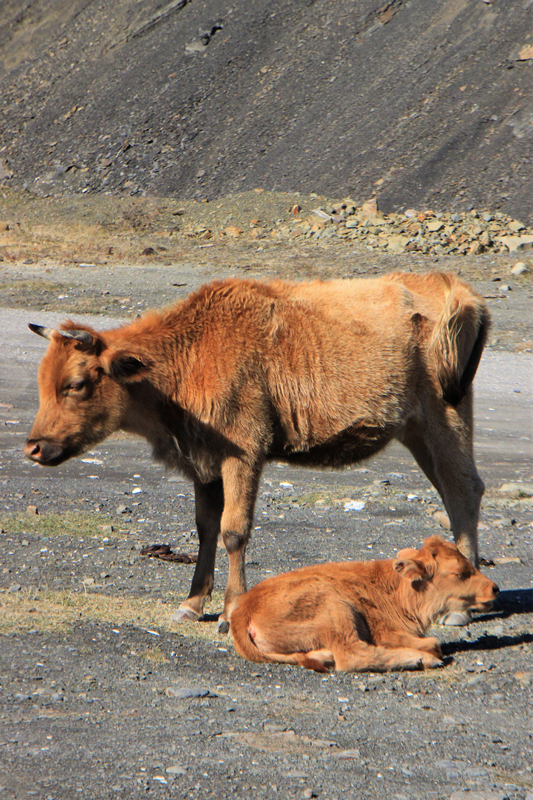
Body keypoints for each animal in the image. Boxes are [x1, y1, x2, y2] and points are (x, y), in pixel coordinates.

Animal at [26, 272, 490, 628]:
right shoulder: (205, 466)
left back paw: (460, 609)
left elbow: (234, 529)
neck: (189, 353)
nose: (34, 447)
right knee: (454, 495)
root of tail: (454, 287)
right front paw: (191, 605)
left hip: (444, 420)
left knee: (463, 490)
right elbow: (206, 527)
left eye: (76, 384)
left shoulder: (243, 455)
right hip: (419, 434)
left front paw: (231, 611)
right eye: (42, 379)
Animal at [230, 536, 498, 672]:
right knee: (352, 656)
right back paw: (421, 660)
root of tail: (243, 609)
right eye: (458, 573)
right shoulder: (386, 633)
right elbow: (433, 642)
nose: (494, 589)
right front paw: (428, 653)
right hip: (334, 607)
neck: (398, 590)